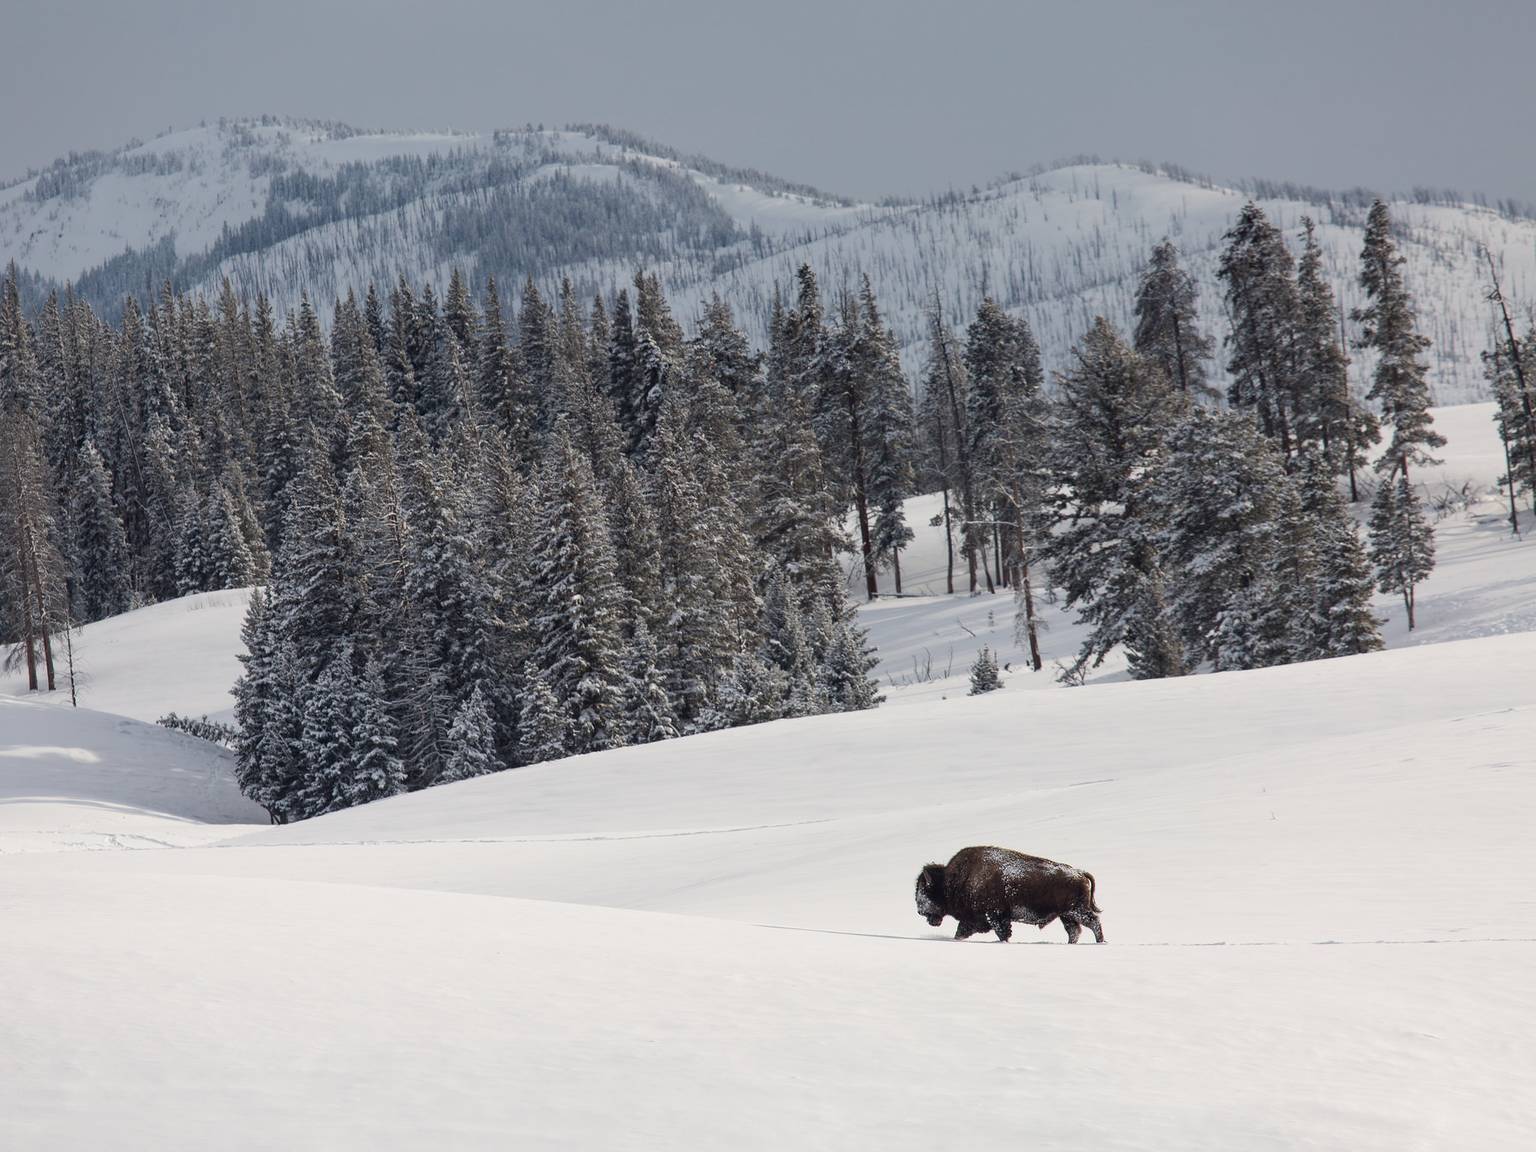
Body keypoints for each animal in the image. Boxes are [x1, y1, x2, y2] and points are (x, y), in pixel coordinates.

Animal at [914, 845, 1104, 943]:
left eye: (924, 890)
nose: (919, 910)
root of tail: (1079, 872)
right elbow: (961, 931)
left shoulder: (995, 916)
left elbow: (1001, 932)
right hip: (1066, 915)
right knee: (1074, 930)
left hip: (1076, 911)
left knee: (1093, 922)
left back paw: (1101, 942)